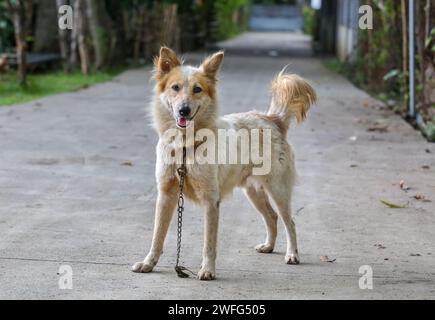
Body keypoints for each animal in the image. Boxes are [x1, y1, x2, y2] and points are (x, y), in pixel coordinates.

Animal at [132, 47, 316, 280]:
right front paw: (149, 263)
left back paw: (292, 254)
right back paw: (268, 246)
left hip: (278, 190)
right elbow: (157, 236)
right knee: (272, 217)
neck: (185, 146)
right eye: (175, 87)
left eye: (197, 89)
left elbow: (209, 243)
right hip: (253, 192)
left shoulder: (211, 200)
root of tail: (272, 119)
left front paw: (207, 270)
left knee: (289, 221)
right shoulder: (166, 195)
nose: (183, 110)